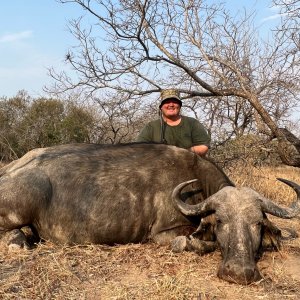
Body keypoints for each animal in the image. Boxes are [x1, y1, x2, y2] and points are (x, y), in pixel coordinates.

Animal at [0, 142, 298, 284]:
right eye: (221, 221)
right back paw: (18, 242)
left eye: (257, 223)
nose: (239, 272)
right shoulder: (163, 234)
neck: (197, 181)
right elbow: (190, 242)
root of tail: (13, 168)